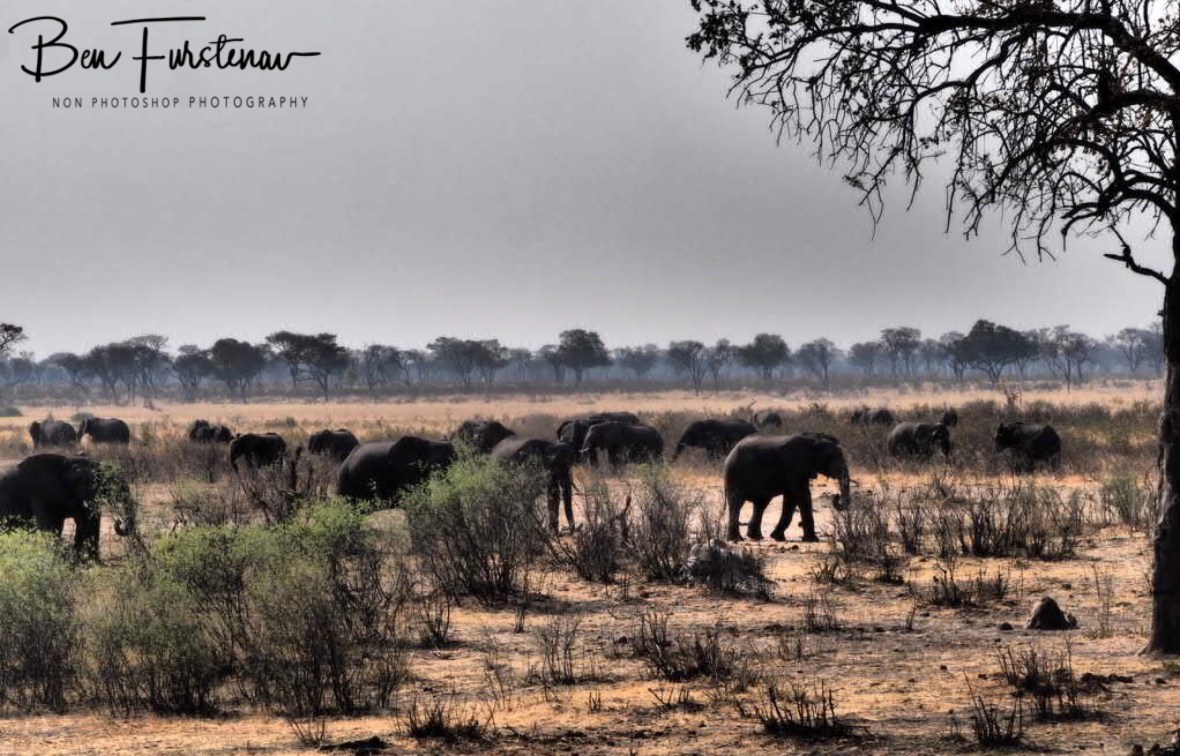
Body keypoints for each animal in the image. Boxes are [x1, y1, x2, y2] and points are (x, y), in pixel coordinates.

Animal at [723, 433, 852, 542]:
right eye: (832, 456)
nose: (836, 496)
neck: (813, 439)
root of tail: (731, 452)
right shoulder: (795, 467)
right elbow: (802, 494)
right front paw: (812, 539)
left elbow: (792, 498)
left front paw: (777, 537)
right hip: (734, 474)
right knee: (737, 502)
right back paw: (736, 539)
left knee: (761, 504)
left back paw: (755, 537)